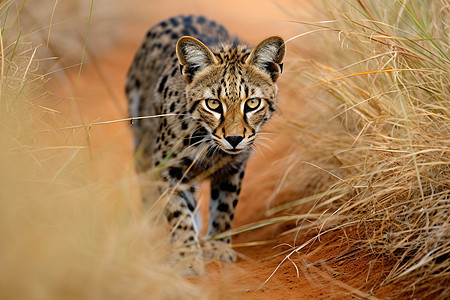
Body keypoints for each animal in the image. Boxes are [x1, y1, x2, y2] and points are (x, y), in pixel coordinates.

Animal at [125, 15, 284, 274]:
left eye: (252, 103)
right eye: (213, 104)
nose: (234, 139)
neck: (209, 145)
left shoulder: (233, 167)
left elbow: (224, 208)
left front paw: (218, 249)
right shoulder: (169, 168)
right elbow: (178, 214)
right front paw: (187, 258)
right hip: (141, 141)